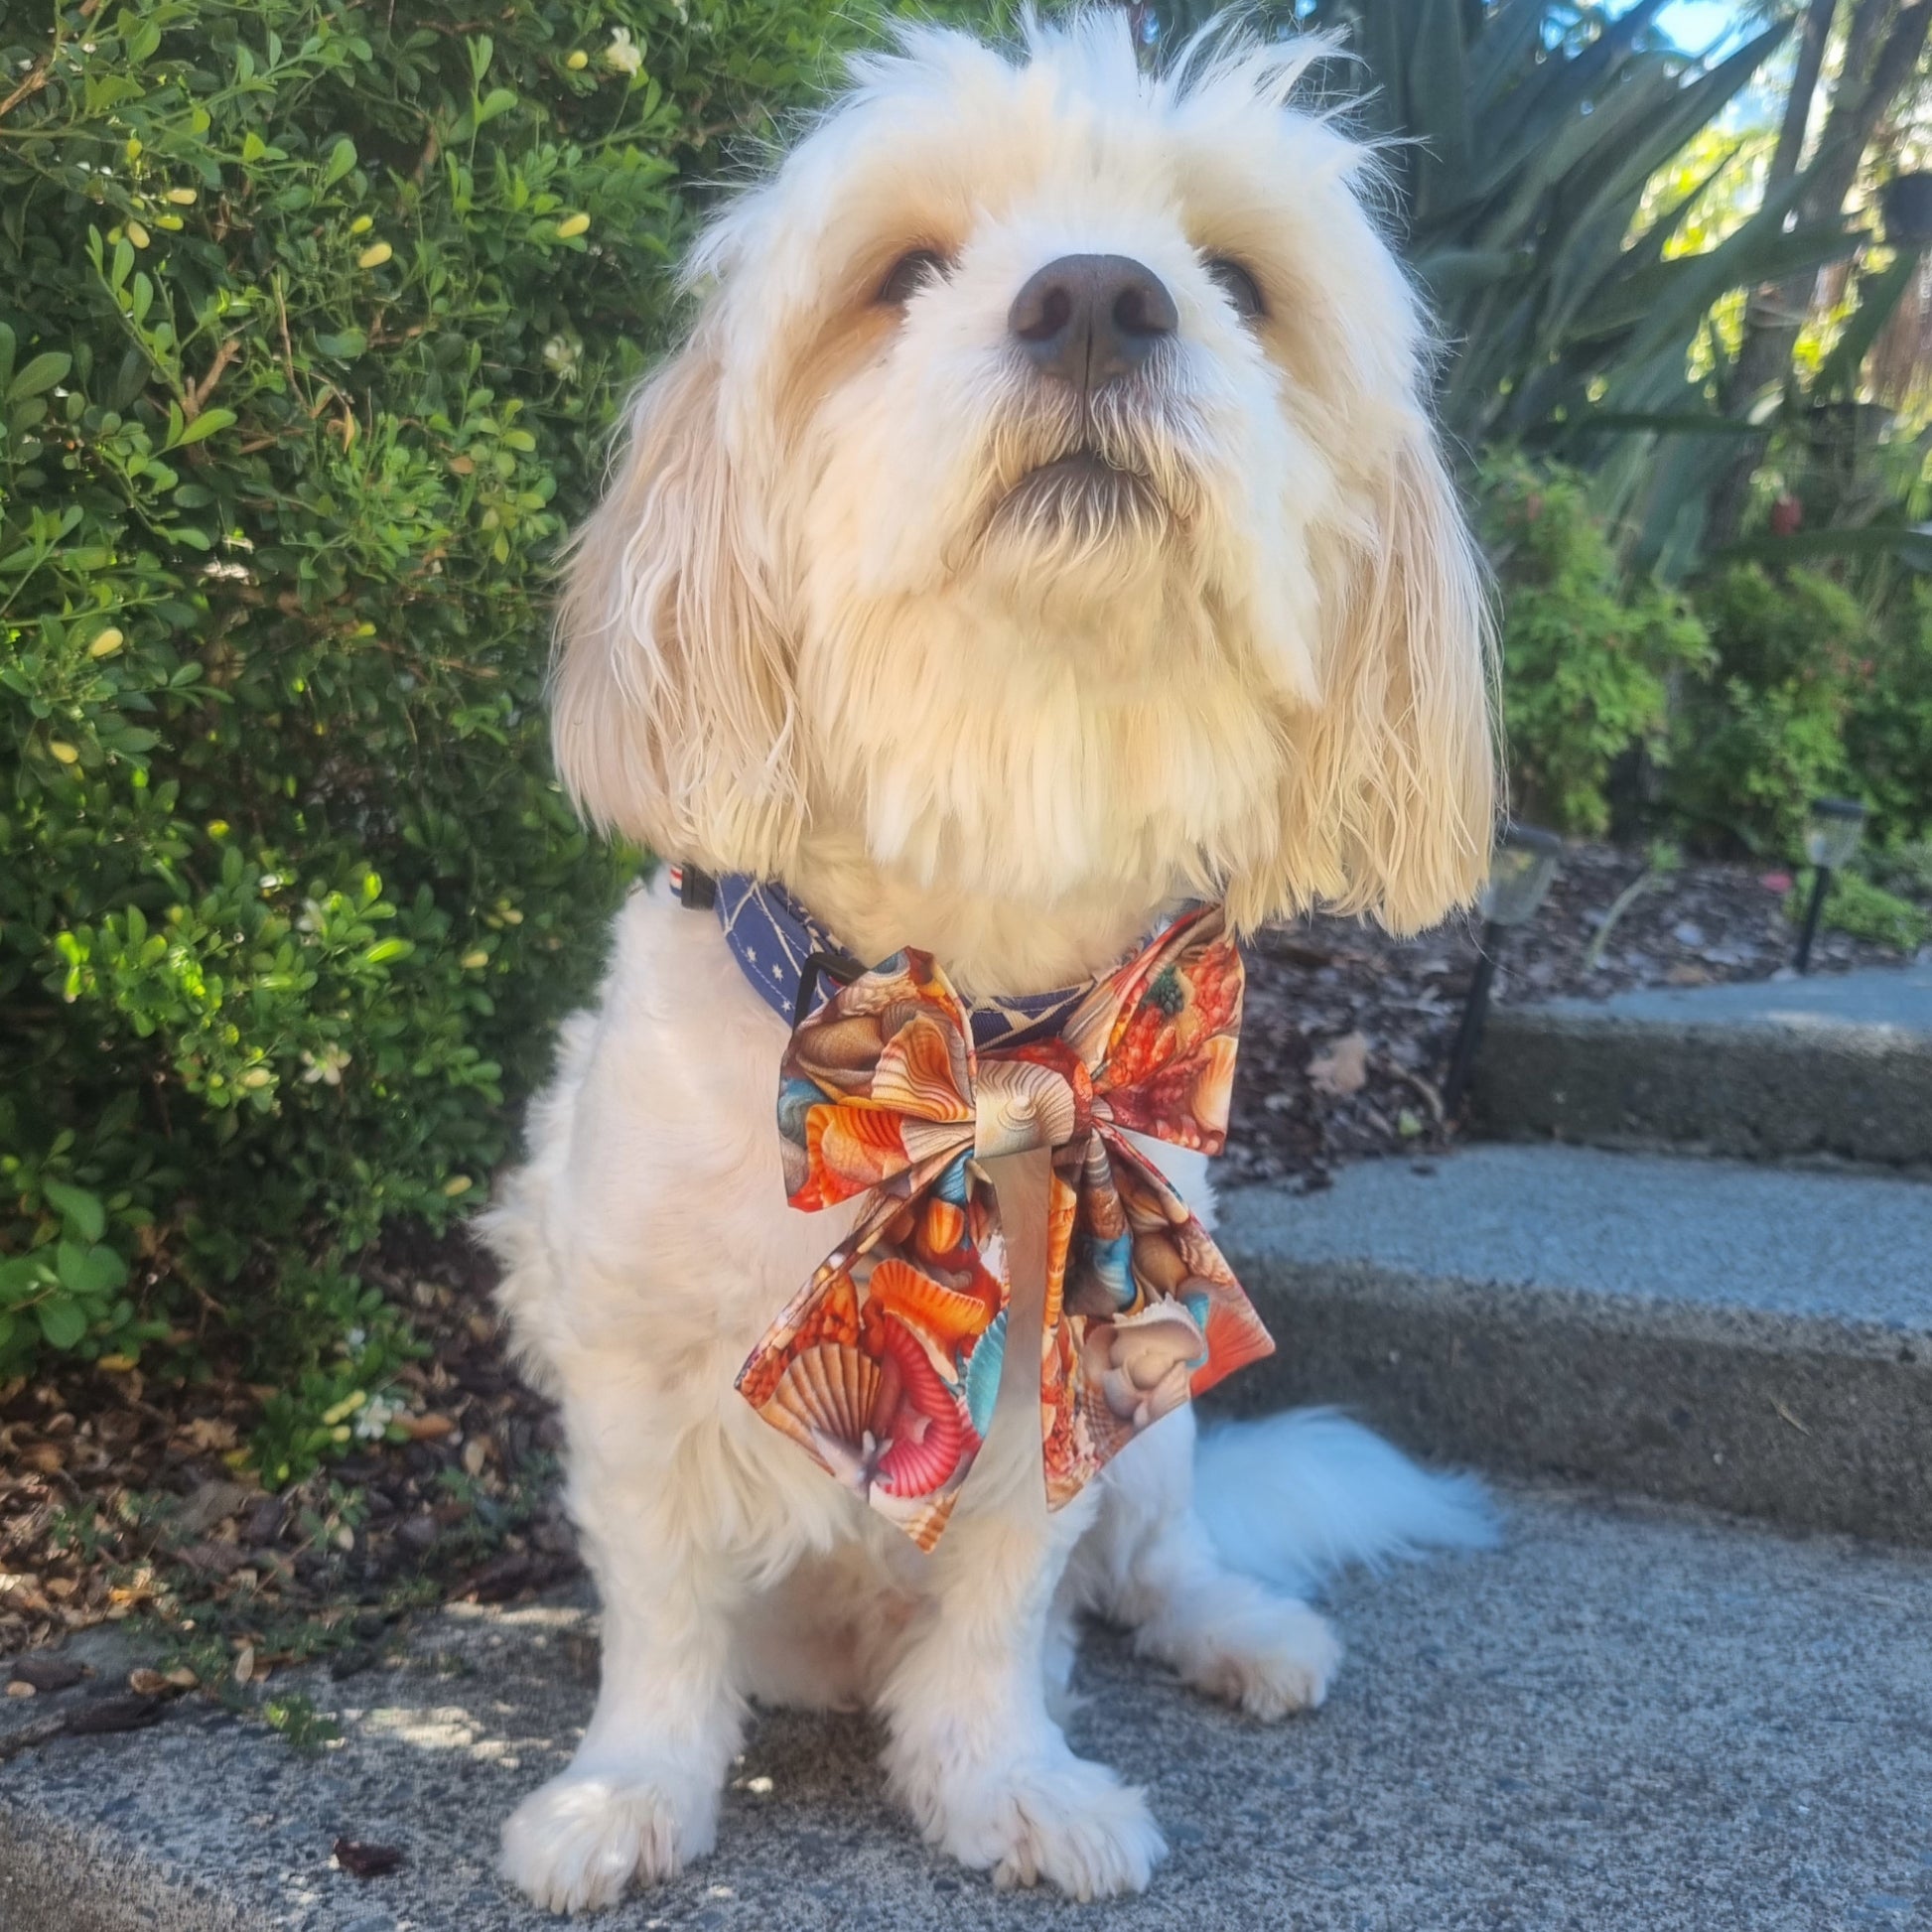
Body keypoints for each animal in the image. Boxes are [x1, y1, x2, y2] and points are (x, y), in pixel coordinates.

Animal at [479, 11, 1491, 1916]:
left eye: (1237, 280)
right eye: (901, 273)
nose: (1098, 296)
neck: (975, 1027)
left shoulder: (1065, 1383)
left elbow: (1000, 1617)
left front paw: (1003, 1781)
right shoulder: (635, 1376)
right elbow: (660, 1618)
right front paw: (627, 1788)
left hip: (1166, 1408)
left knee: (1165, 1564)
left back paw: (1247, 1630)